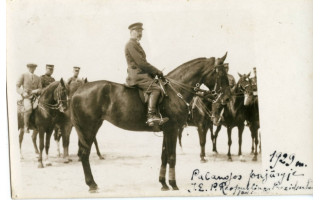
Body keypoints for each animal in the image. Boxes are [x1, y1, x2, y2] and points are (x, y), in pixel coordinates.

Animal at [71, 53, 229, 192]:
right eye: (221, 74)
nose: (226, 98)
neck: (175, 91)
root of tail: (78, 91)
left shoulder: (167, 131)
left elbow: (164, 156)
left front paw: (163, 184)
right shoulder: (173, 130)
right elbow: (172, 157)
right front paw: (173, 184)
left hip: (93, 126)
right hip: (88, 127)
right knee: (84, 154)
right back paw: (92, 184)